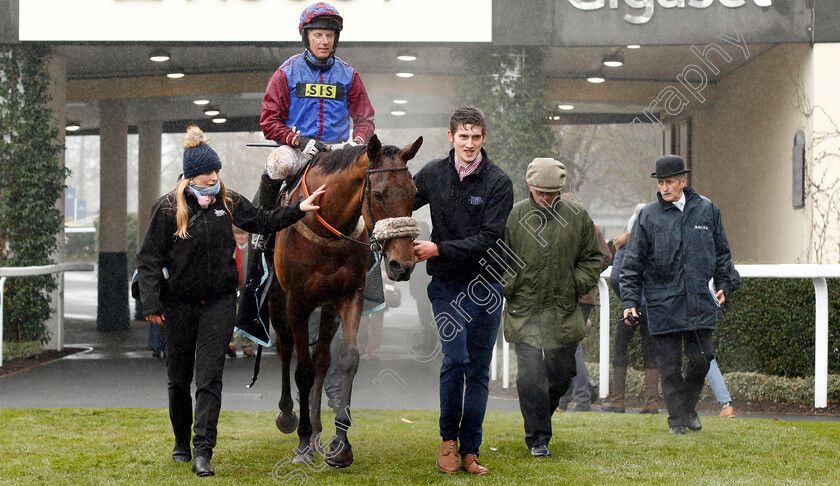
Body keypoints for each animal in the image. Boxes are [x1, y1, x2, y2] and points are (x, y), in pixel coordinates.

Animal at [268, 135, 420, 468]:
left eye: (414, 193)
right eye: (377, 193)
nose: (402, 265)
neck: (326, 224)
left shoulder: (350, 296)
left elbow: (347, 358)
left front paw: (340, 443)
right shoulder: (296, 302)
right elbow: (302, 370)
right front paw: (301, 444)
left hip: (326, 307)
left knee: (323, 358)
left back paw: (315, 432)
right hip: (277, 301)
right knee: (285, 348)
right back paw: (289, 417)